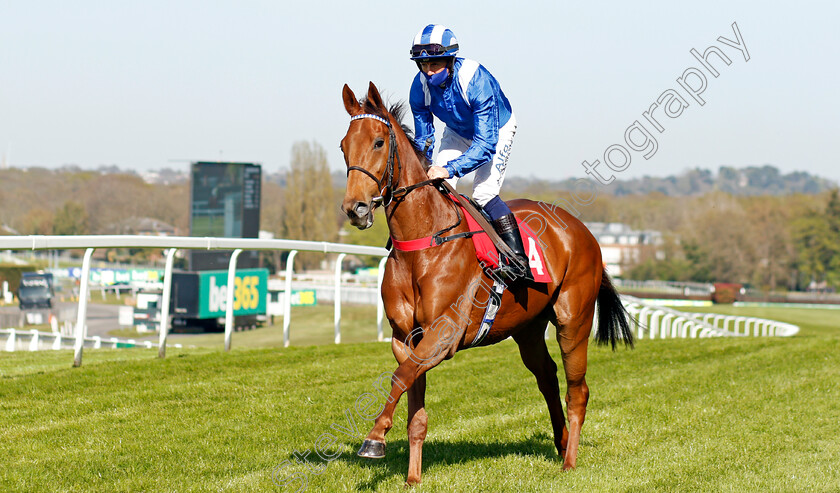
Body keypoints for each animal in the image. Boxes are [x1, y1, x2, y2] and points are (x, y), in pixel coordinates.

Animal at [340, 81, 632, 484]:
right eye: (343, 145)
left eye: (379, 142)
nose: (355, 209)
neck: (424, 241)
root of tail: (583, 230)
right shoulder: (406, 338)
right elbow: (412, 397)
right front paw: (413, 477)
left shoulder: (442, 335)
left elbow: (400, 378)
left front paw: (374, 439)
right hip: (527, 327)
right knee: (547, 377)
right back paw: (560, 444)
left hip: (573, 320)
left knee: (578, 390)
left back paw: (570, 461)